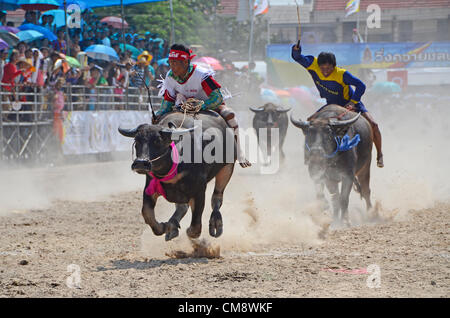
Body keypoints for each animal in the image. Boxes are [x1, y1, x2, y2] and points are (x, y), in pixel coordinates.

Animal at [119, 112, 237, 241]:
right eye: (137, 140)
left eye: (158, 141)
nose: (141, 163)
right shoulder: (150, 186)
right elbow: (147, 213)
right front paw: (163, 226)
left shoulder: (199, 191)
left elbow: (195, 228)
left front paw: (189, 232)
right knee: (182, 207)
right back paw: (172, 226)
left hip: (227, 168)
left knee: (217, 197)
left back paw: (215, 222)